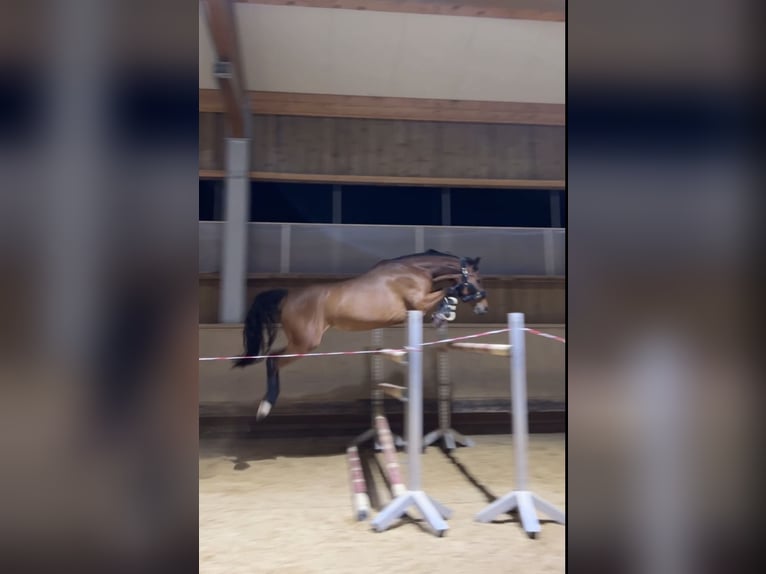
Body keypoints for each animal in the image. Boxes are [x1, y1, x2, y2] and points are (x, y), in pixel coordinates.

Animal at [232, 249, 489, 420]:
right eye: (477, 279)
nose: (483, 308)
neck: (414, 271)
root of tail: (287, 296)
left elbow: (443, 294)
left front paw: (445, 312)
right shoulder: (418, 303)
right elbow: (446, 290)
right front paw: (447, 307)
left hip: (301, 342)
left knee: (272, 359)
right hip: (305, 343)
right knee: (273, 360)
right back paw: (265, 406)